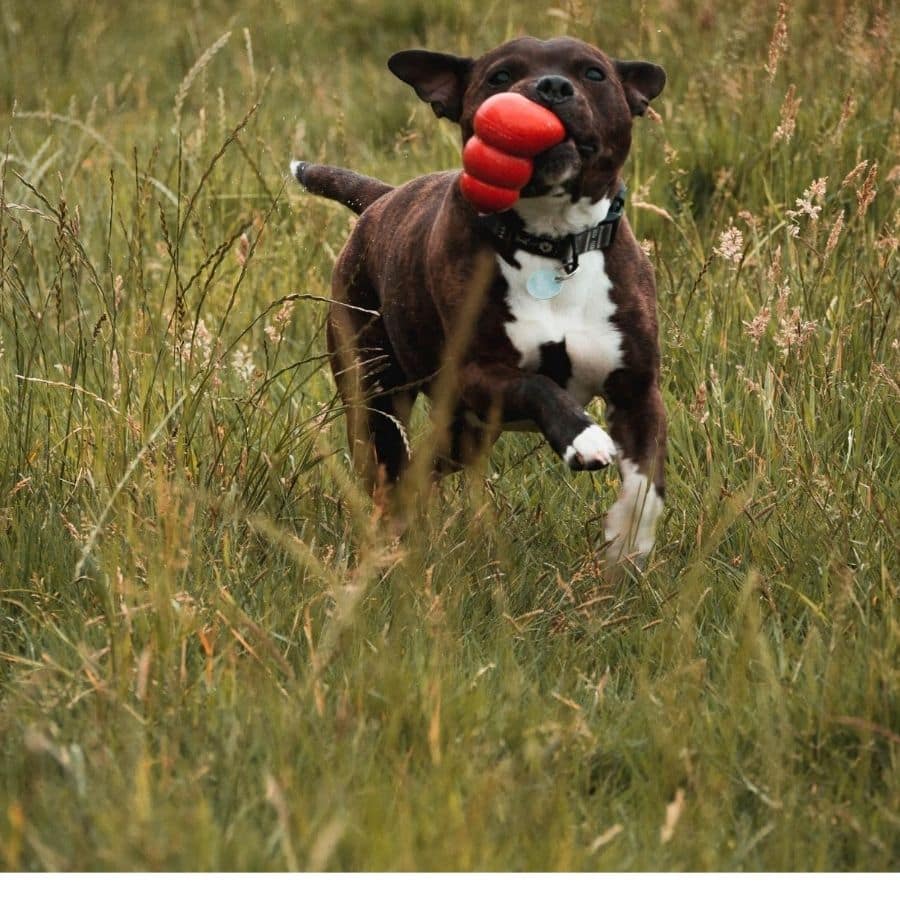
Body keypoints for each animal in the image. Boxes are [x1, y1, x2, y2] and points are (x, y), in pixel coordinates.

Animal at [292, 38, 664, 568]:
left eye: (594, 73)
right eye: (500, 75)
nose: (551, 87)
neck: (551, 242)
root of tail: (382, 198)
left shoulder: (638, 389)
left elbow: (646, 480)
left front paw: (627, 540)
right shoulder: (475, 374)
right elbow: (538, 384)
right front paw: (583, 436)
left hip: (462, 431)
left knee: (425, 466)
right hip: (374, 394)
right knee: (389, 469)